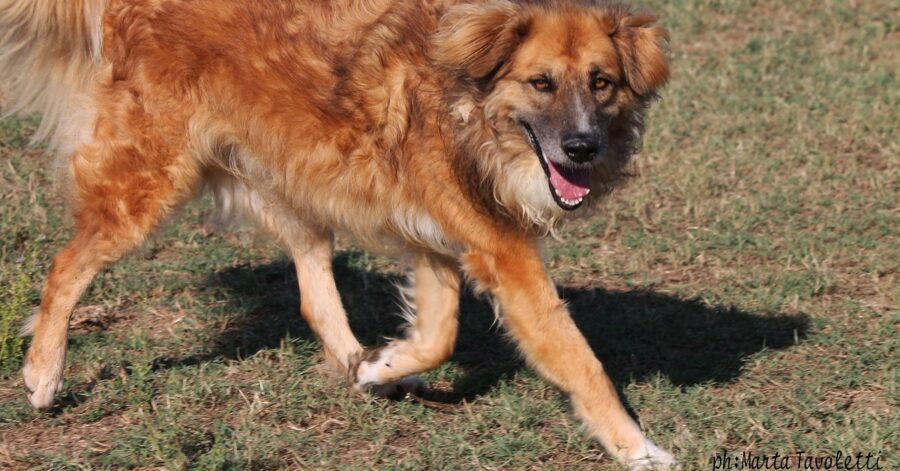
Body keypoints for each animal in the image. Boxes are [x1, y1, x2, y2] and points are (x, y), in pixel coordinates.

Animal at [1, 0, 676, 468]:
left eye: (601, 82)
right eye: (541, 83)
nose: (583, 148)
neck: (469, 105)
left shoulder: (435, 242)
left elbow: (440, 334)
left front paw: (384, 365)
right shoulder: (503, 254)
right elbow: (578, 358)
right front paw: (637, 448)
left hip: (292, 179)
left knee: (313, 293)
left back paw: (361, 364)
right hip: (148, 184)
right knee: (65, 267)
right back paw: (42, 373)